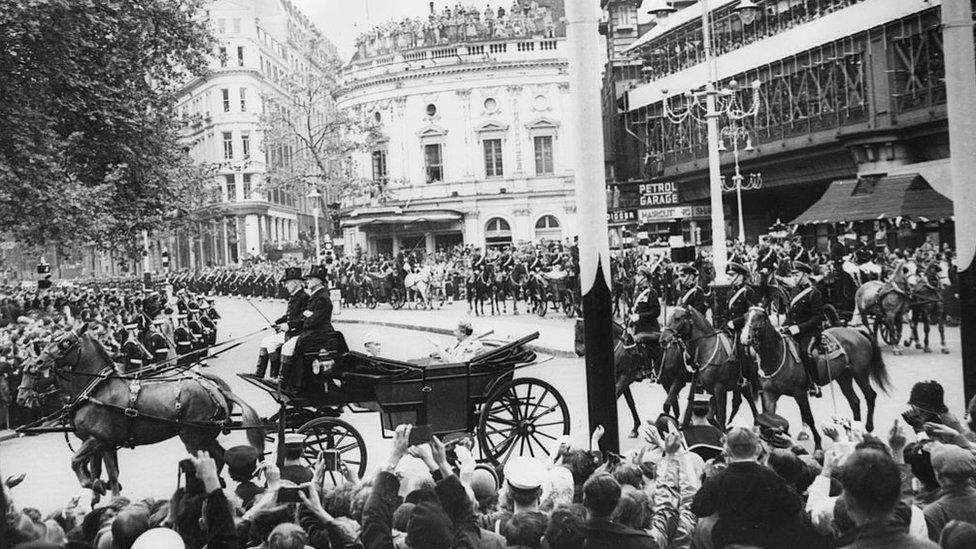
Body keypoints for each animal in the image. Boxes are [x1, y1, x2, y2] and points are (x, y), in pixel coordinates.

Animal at [17, 326, 264, 496]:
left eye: (64, 342)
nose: (38, 362)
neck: (97, 390)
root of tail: (213, 387)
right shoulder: (104, 444)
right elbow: (108, 474)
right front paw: (102, 490)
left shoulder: (97, 440)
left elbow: (77, 462)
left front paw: (93, 486)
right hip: (206, 436)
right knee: (221, 458)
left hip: (192, 437)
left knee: (210, 462)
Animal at [744, 306, 888, 448]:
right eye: (745, 317)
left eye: (759, 317)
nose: (745, 338)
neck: (776, 356)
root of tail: (857, 333)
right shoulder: (770, 394)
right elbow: (770, 417)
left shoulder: (800, 393)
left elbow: (809, 417)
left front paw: (818, 444)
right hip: (843, 377)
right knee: (854, 401)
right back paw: (854, 431)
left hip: (860, 374)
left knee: (870, 396)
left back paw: (868, 428)